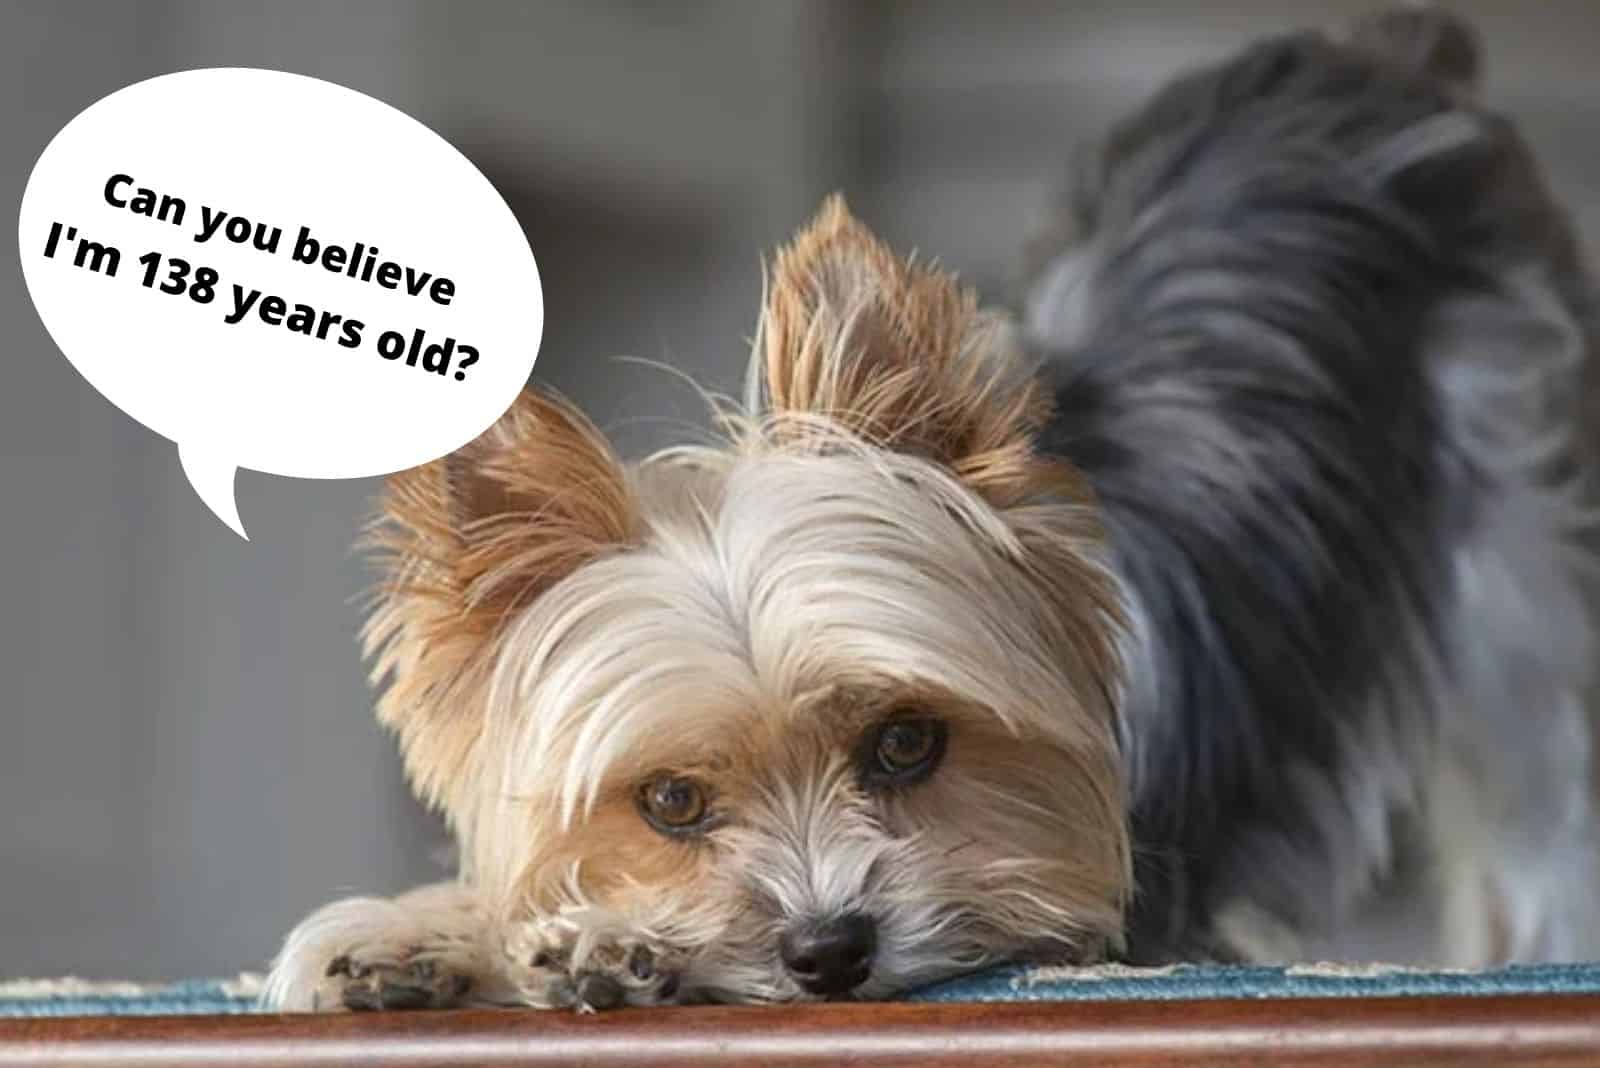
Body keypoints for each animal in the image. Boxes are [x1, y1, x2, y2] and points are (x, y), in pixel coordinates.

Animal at [262, 6, 1600, 1010]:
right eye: (670, 804)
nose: (827, 951)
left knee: (1541, 771)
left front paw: (596, 944)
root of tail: (1376, 59)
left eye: (908, 743)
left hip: (1517, 535)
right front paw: (431, 937)